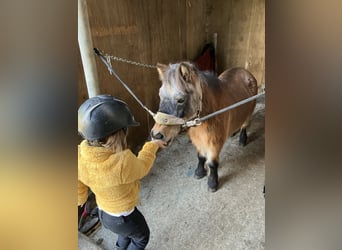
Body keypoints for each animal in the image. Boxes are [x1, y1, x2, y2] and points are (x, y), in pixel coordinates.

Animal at [152, 62, 256, 191]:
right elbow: (200, 157)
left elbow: (212, 164)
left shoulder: (215, 143)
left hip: (249, 113)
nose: (156, 135)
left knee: (244, 125)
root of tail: (246, 72)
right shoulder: (199, 140)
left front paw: (212, 183)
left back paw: (242, 140)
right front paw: (199, 172)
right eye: (160, 95)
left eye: (181, 100)